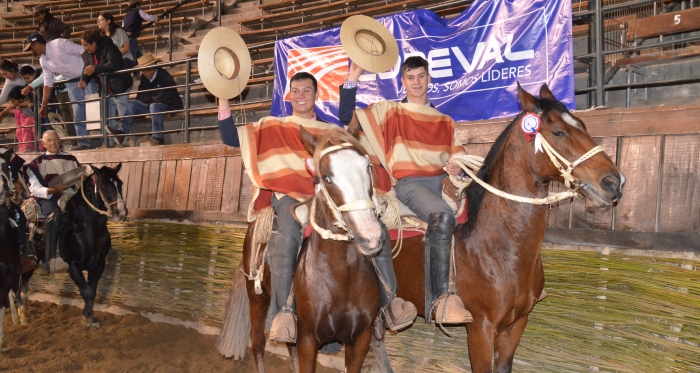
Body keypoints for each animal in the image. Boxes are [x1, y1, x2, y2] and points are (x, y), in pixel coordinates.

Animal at [61, 164, 127, 326]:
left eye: (120, 183)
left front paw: (89, 316)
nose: (121, 213)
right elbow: (86, 290)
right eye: (103, 185)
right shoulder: (73, 266)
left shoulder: (97, 263)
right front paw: (86, 318)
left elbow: (92, 290)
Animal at [217, 129, 394, 372]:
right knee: (258, 346)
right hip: (257, 300)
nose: (371, 236)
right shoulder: (308, 339)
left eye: (367, 166)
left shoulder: (361, 339)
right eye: (326, 177)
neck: (342, 277)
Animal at [392, 84, 628, 372]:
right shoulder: (481, 329)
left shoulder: (517, 324)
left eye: (582, 125)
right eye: (558, 132)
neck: (498, 249)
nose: (614, 182)